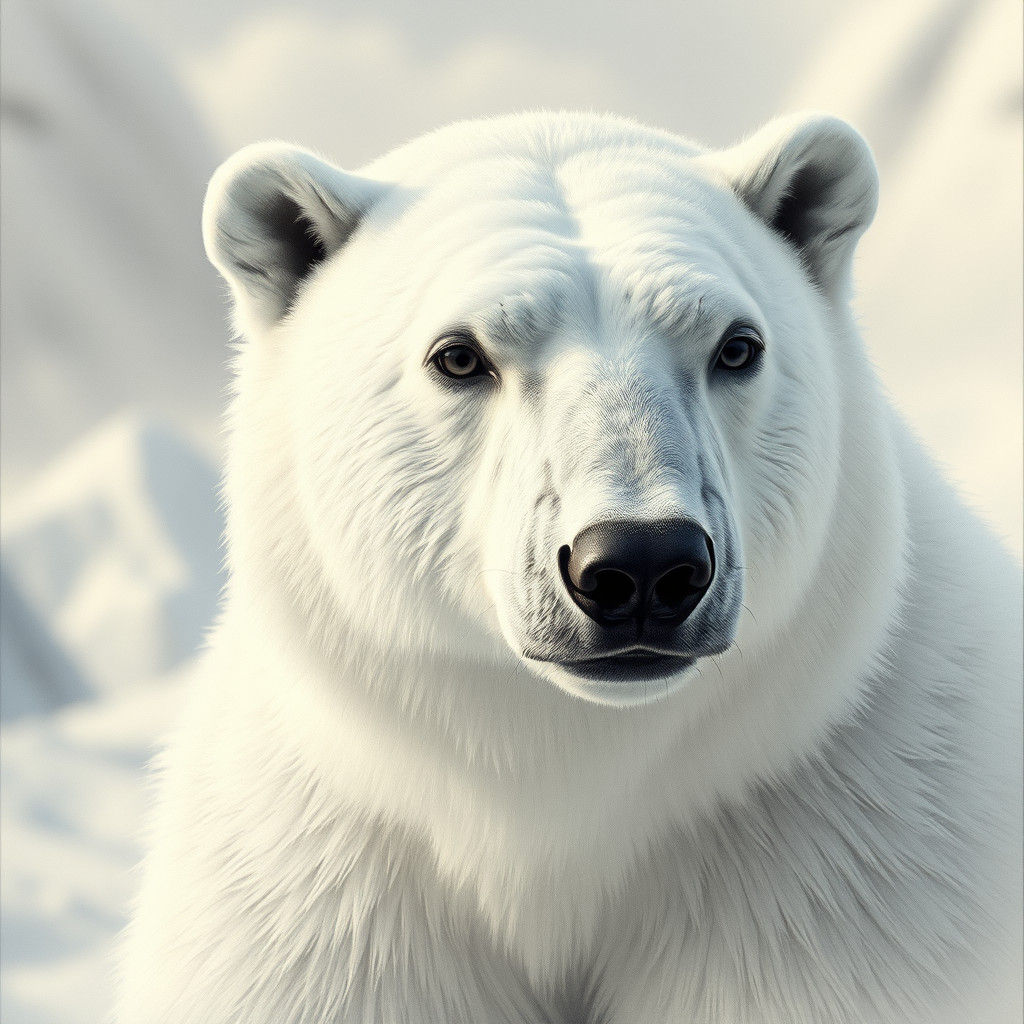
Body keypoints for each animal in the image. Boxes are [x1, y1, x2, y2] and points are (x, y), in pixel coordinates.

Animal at [117, 111, 1023, 1024]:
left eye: (738, 346)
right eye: (457, 355)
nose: (642, 563)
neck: (561, 804)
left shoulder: (841, 874)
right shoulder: (323, 907)